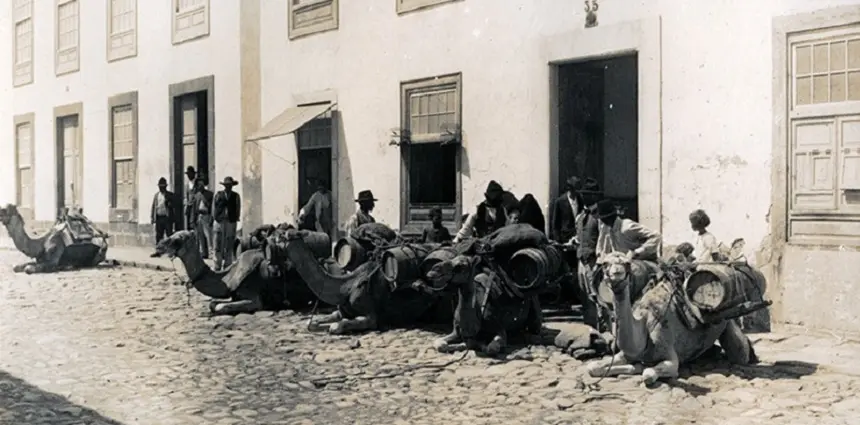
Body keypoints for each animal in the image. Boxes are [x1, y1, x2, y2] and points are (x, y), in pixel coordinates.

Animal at [152, 229, 320, 314]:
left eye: (177, 239)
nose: (158, 246)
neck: (227, 276)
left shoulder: (254, 298)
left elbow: (221, 306)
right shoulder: (234, 294)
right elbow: (213, 303)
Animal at [268, 227, 454, 332]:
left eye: (280, 237)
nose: (269, 262)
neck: (345, 286)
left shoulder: (371, 315)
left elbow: (341, 325)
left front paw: (334, 326)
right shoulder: (342, 309)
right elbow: (322, 319)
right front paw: (315, 323)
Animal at [584, 250, 760, 386]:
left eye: (627, 264)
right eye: (605, 264)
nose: (616, 274)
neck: (645, 324)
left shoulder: (670, 356)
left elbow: (649, 374)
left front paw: (641, 369)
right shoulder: (627, 354)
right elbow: (593, 368)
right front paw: (635, 366)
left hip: (728, 321)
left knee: (740, 352)